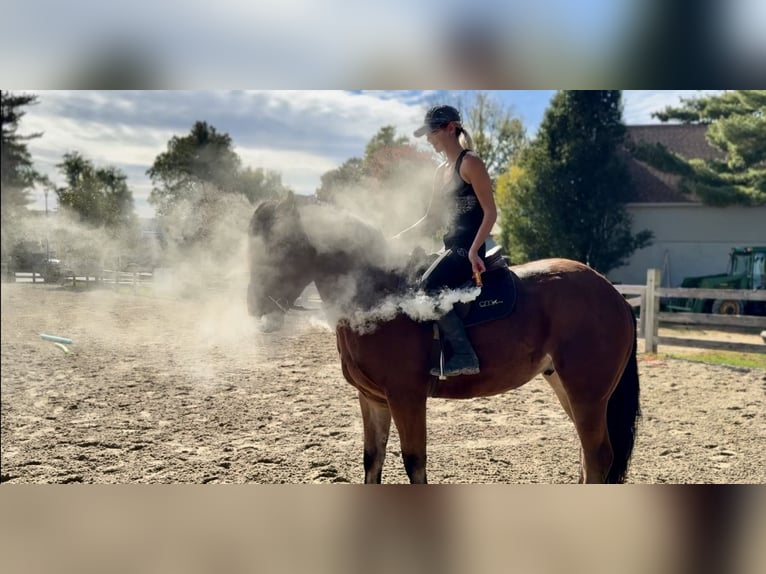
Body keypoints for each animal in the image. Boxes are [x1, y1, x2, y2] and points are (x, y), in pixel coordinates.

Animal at [246, 194, 641, 484]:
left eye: (279, 245)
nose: (252, 305)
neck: (379, 295)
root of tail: (613, 293)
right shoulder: (373, 399)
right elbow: (372, 462)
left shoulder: (406, 396)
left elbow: (414, 462)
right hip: (568, 388)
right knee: (588, 456)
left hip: (587, 393)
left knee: (597, 457)